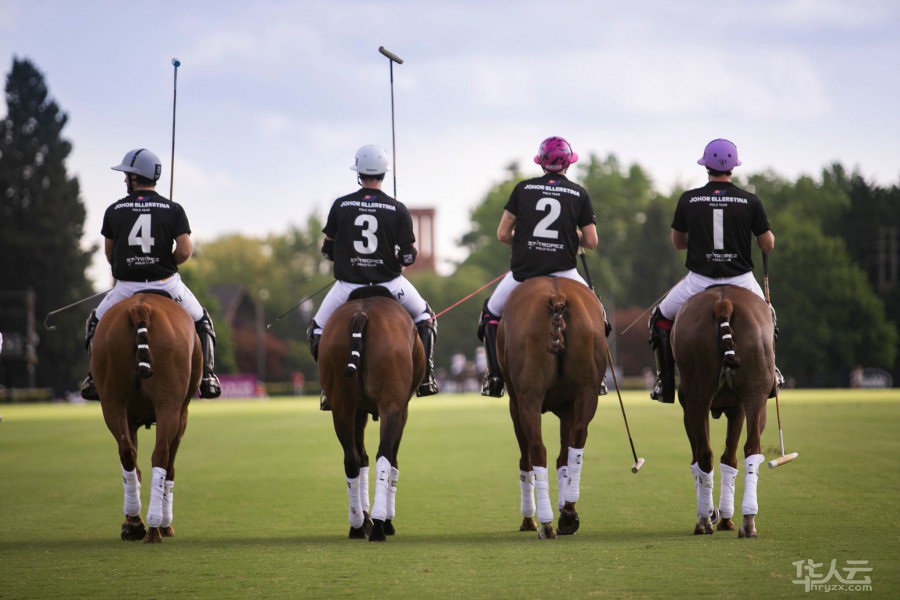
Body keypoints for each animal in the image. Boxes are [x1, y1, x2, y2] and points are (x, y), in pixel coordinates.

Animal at [91, 292, 202, 543]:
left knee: (127, 453)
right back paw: (154, 527)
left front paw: (132, 522)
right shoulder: (182, 414)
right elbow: (170, 467)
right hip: (169, 404)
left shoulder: (130, 417)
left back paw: (136, 523)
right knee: (161, 455)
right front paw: (166, 524)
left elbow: (136, 463)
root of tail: (140, 308)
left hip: (112, 401)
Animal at [318, 286, 425, 542]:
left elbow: (362, 458)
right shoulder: (402, 409)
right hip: (391, 404)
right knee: (384, 456)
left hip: (341, 405)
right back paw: (378, 525)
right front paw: (385, 520)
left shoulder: (358, 411)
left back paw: (357, 525)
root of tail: (361, 314)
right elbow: (392, 460)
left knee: (351, 460)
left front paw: (364, 519)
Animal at [497, 277, 608, 539]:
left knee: (536, 449)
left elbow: (526, 458)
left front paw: (529, 518)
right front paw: (564, 509)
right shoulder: (568, 407)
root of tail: (557, 296)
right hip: (587, 392)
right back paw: (568, 514)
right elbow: (564, 459)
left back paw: (546, 523)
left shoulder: (515, 403)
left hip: (528, 397)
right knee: (577, 440)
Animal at [670, 285, 775, 538]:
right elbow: (729, 457)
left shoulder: (695, 409)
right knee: (751, 447)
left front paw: (718, 515)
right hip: (754, 393)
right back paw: (747, 521)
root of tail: (723, 302)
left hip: (698, 397)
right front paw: (723, 516)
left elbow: (712, 459)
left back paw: (705, 521)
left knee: (706, 454)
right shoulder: (737, 408)